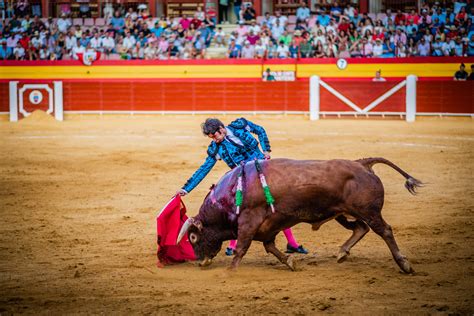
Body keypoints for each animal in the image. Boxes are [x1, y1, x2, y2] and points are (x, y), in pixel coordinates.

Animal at [177, 158, 422, 274]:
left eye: (193, 237)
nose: (200, 262)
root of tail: (362, 163)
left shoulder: (249, 221)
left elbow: (241, 248)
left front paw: (230, 272)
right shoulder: (268, 228)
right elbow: (271, 247)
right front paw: (291, 261)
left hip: (368, 211)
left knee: (384, 230)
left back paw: (404, 264)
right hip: (342, 213)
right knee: (361, 228)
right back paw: (342, 253)